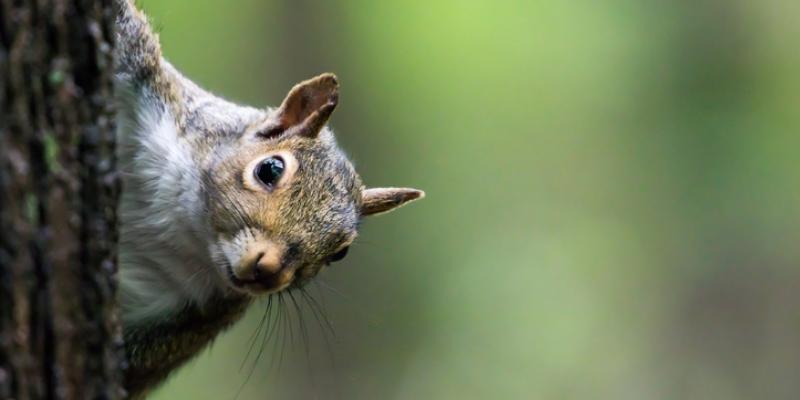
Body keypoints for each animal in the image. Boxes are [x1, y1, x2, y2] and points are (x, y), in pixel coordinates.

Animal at [113, 1, 424, 398]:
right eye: (270, 169)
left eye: (340, 253)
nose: (270, 269)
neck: (184, 226)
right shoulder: (152, 86)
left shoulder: (186, 322)